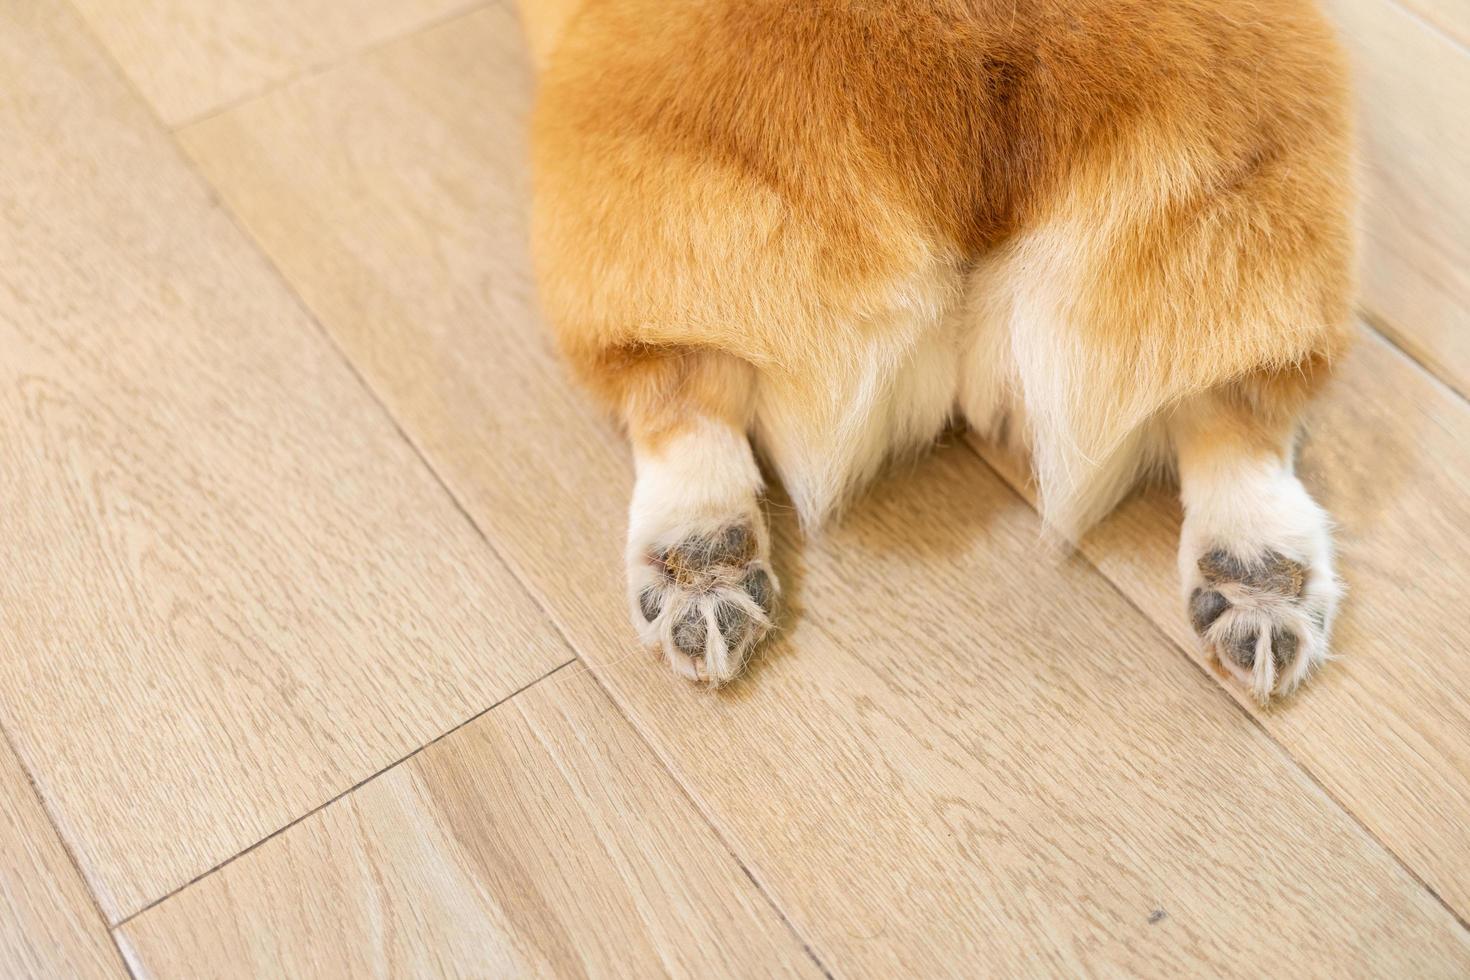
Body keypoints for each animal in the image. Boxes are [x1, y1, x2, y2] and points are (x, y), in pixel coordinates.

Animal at [520, 0, 1352, 705]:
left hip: (663, 207)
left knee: (680, 401)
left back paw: (697, 564)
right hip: (1238, 204)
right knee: (1233, 418)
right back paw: (1257, 581)